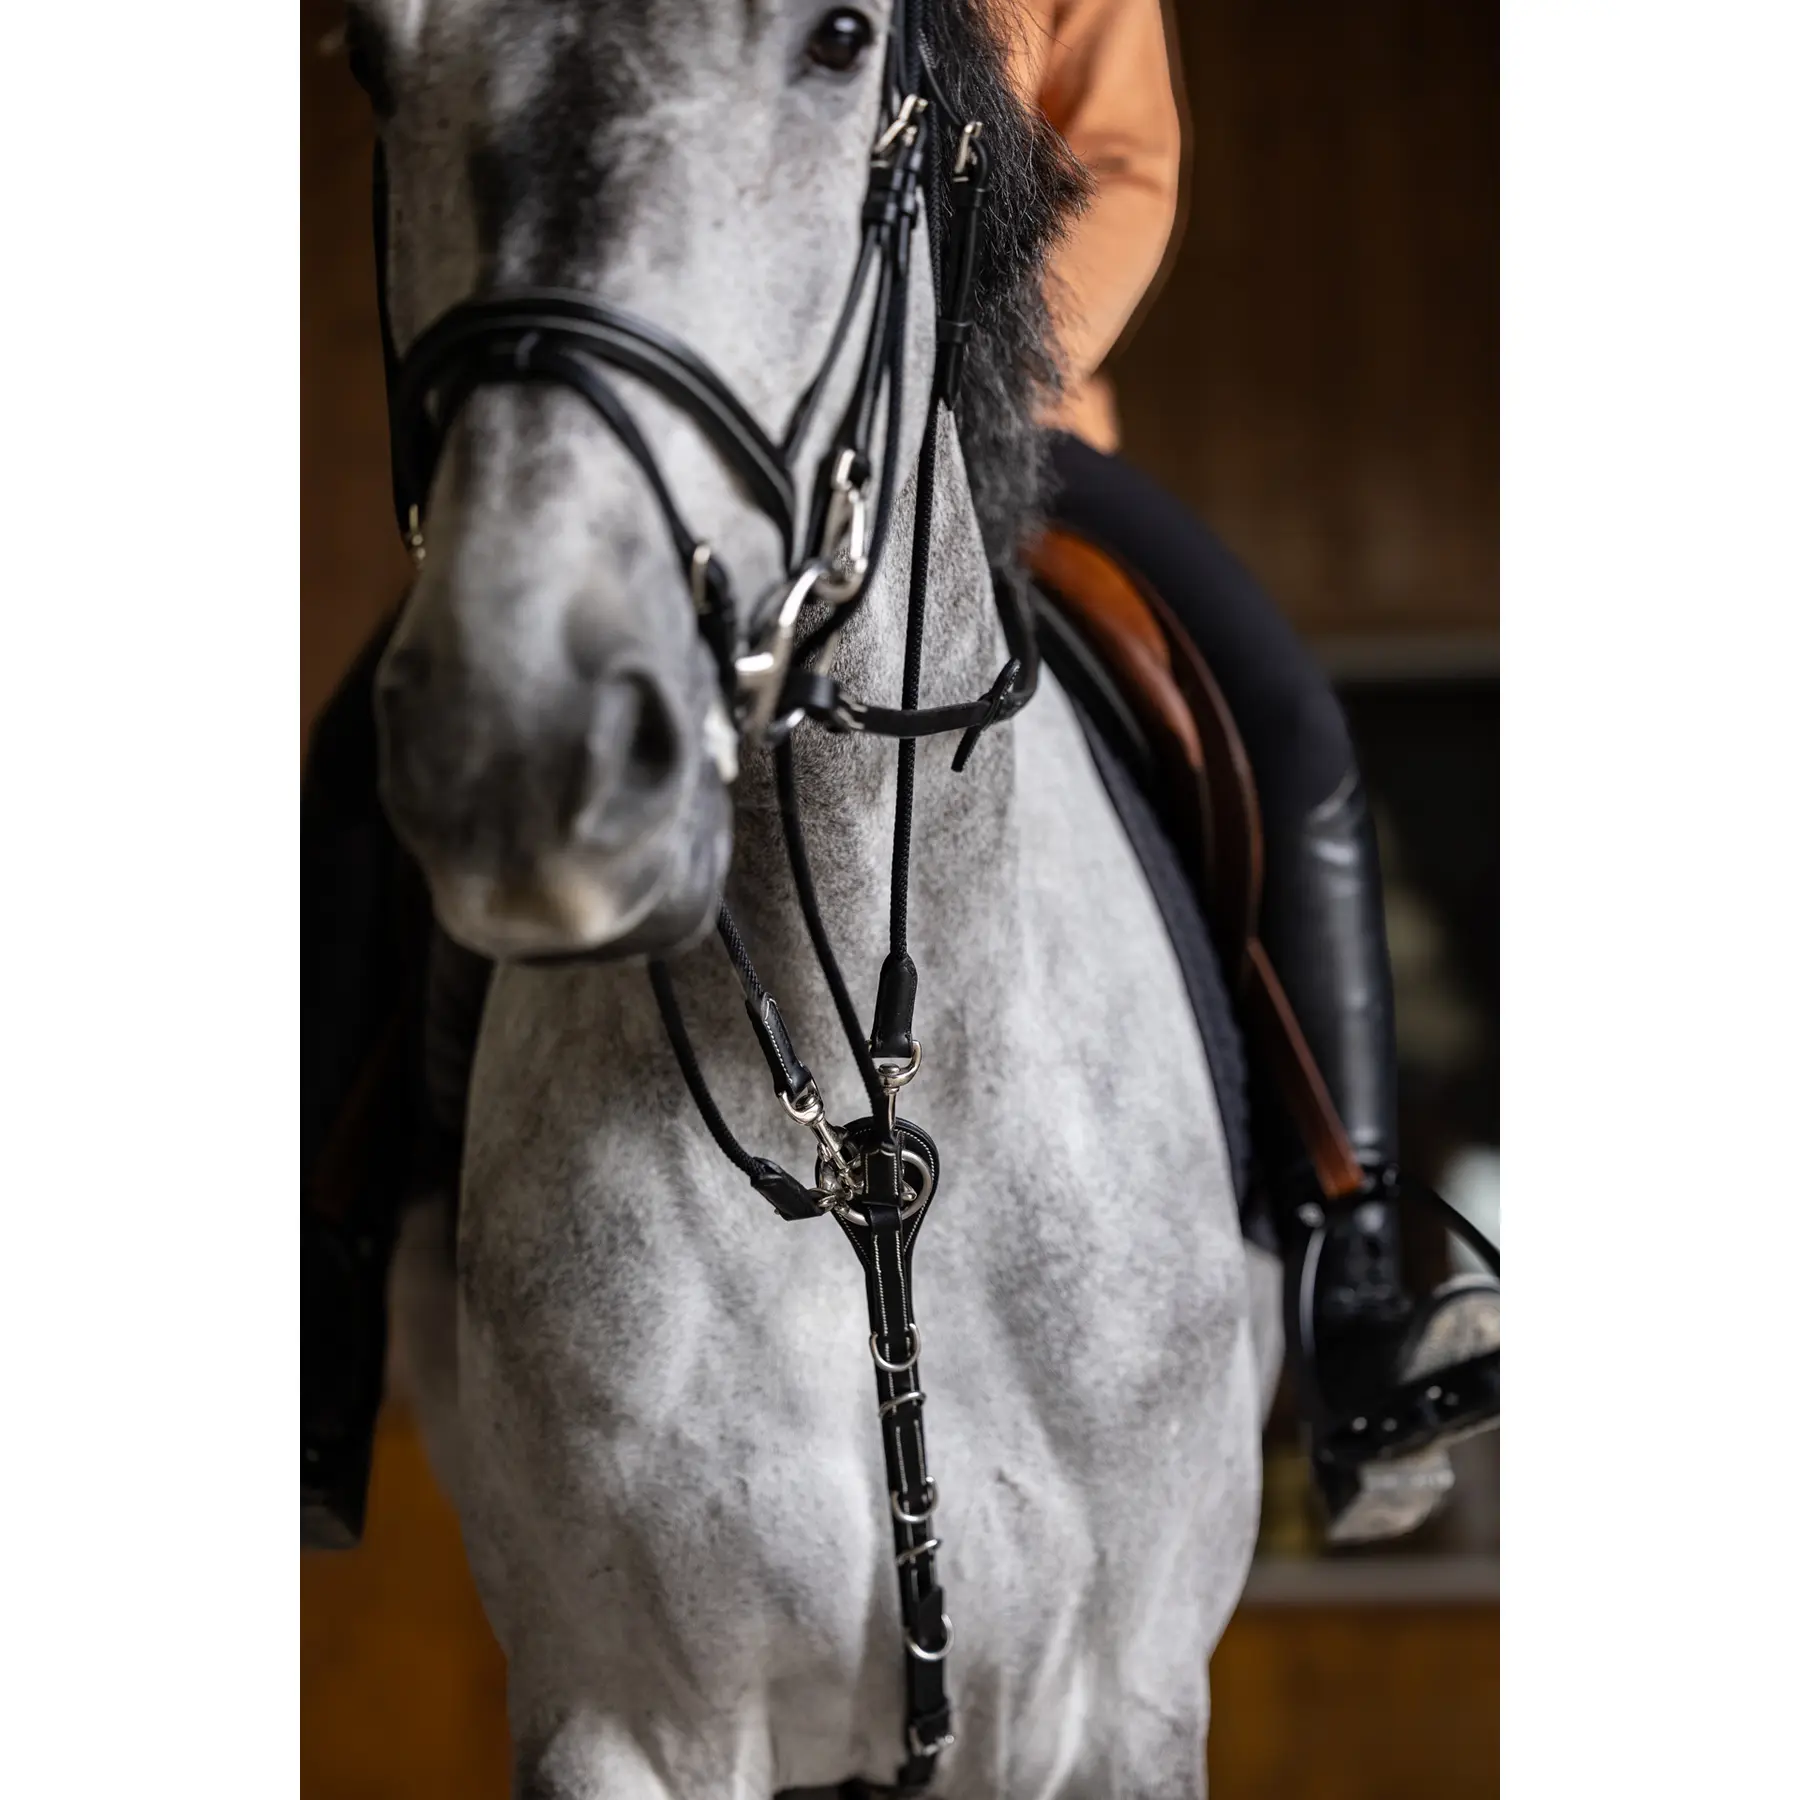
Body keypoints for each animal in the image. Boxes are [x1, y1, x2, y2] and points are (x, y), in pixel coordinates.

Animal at [358, 1, 1283, 1792]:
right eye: (373, 58)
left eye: (840, 39)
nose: (519, 741)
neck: (871, 1135)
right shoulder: (625, 1716)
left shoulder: (1117, 1704)